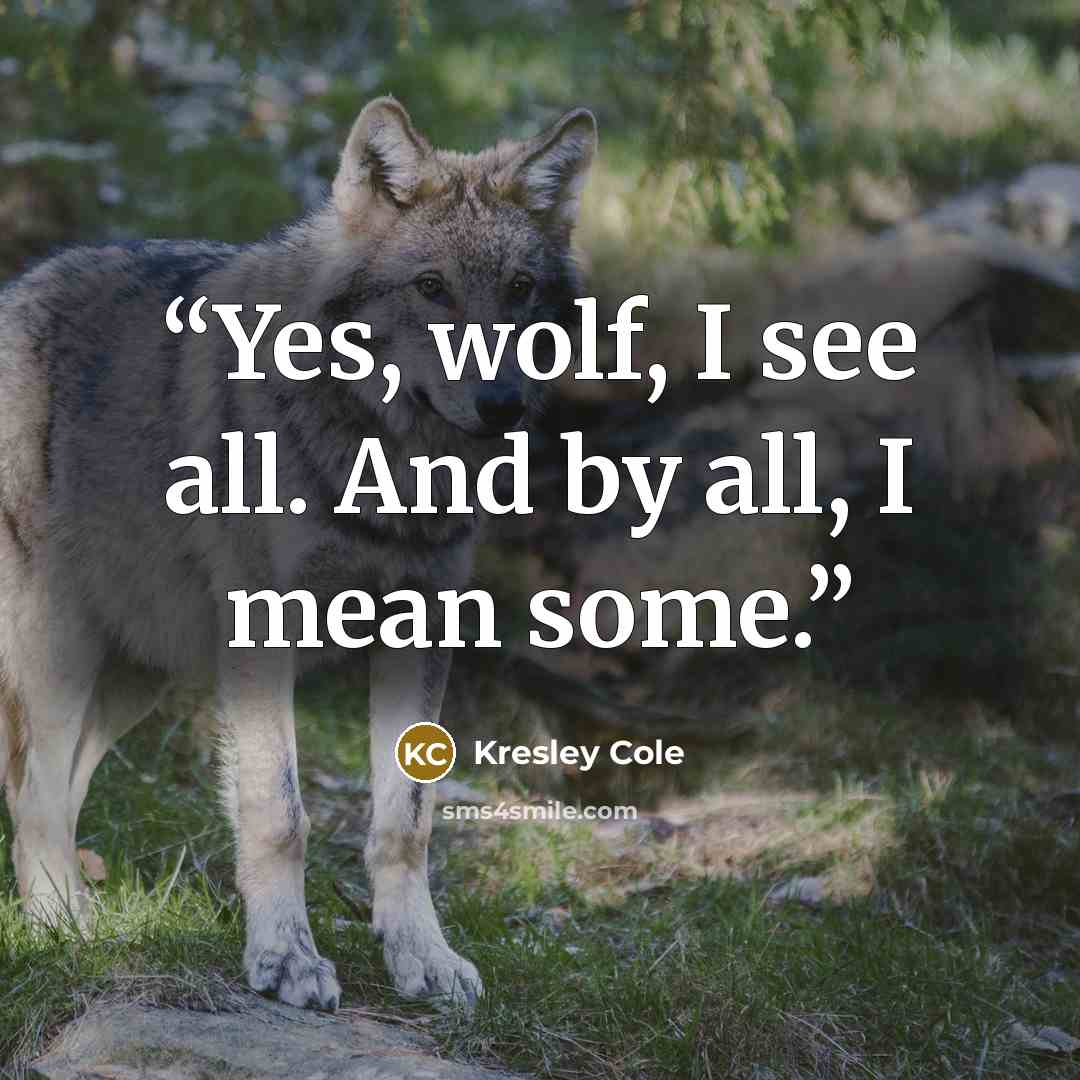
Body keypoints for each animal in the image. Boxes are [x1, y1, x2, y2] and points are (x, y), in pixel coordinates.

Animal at [0, 97, 596, 1010]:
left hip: (136, 676)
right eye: (432, 289)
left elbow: (405, 823)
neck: (387, 467)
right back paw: (66, 929)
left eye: (519, 292)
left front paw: (422, 956)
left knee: (49, 794)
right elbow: (280, 814)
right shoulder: (263, 639)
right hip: (63, 653)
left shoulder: (422, 636)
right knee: (33, 797)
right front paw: (286, 958)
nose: (502, 403)